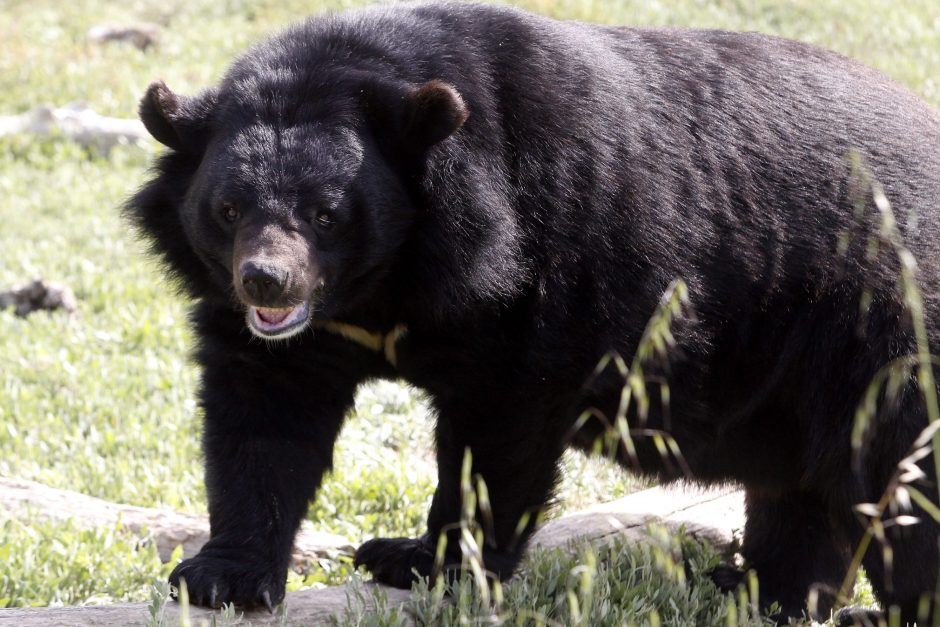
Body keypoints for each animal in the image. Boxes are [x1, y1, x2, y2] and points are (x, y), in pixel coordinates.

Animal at [126, 2, 940, 624]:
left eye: (328, 214)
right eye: (228, 210)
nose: (266, 282)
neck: (386, 282)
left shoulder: (536, 281)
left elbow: (495, 434)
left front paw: (431, 562)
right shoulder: (295, 336)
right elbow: (263, 417)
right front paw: (222, 577)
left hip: (884, 335)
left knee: (904, 492)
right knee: (804, 494)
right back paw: (756, 590)